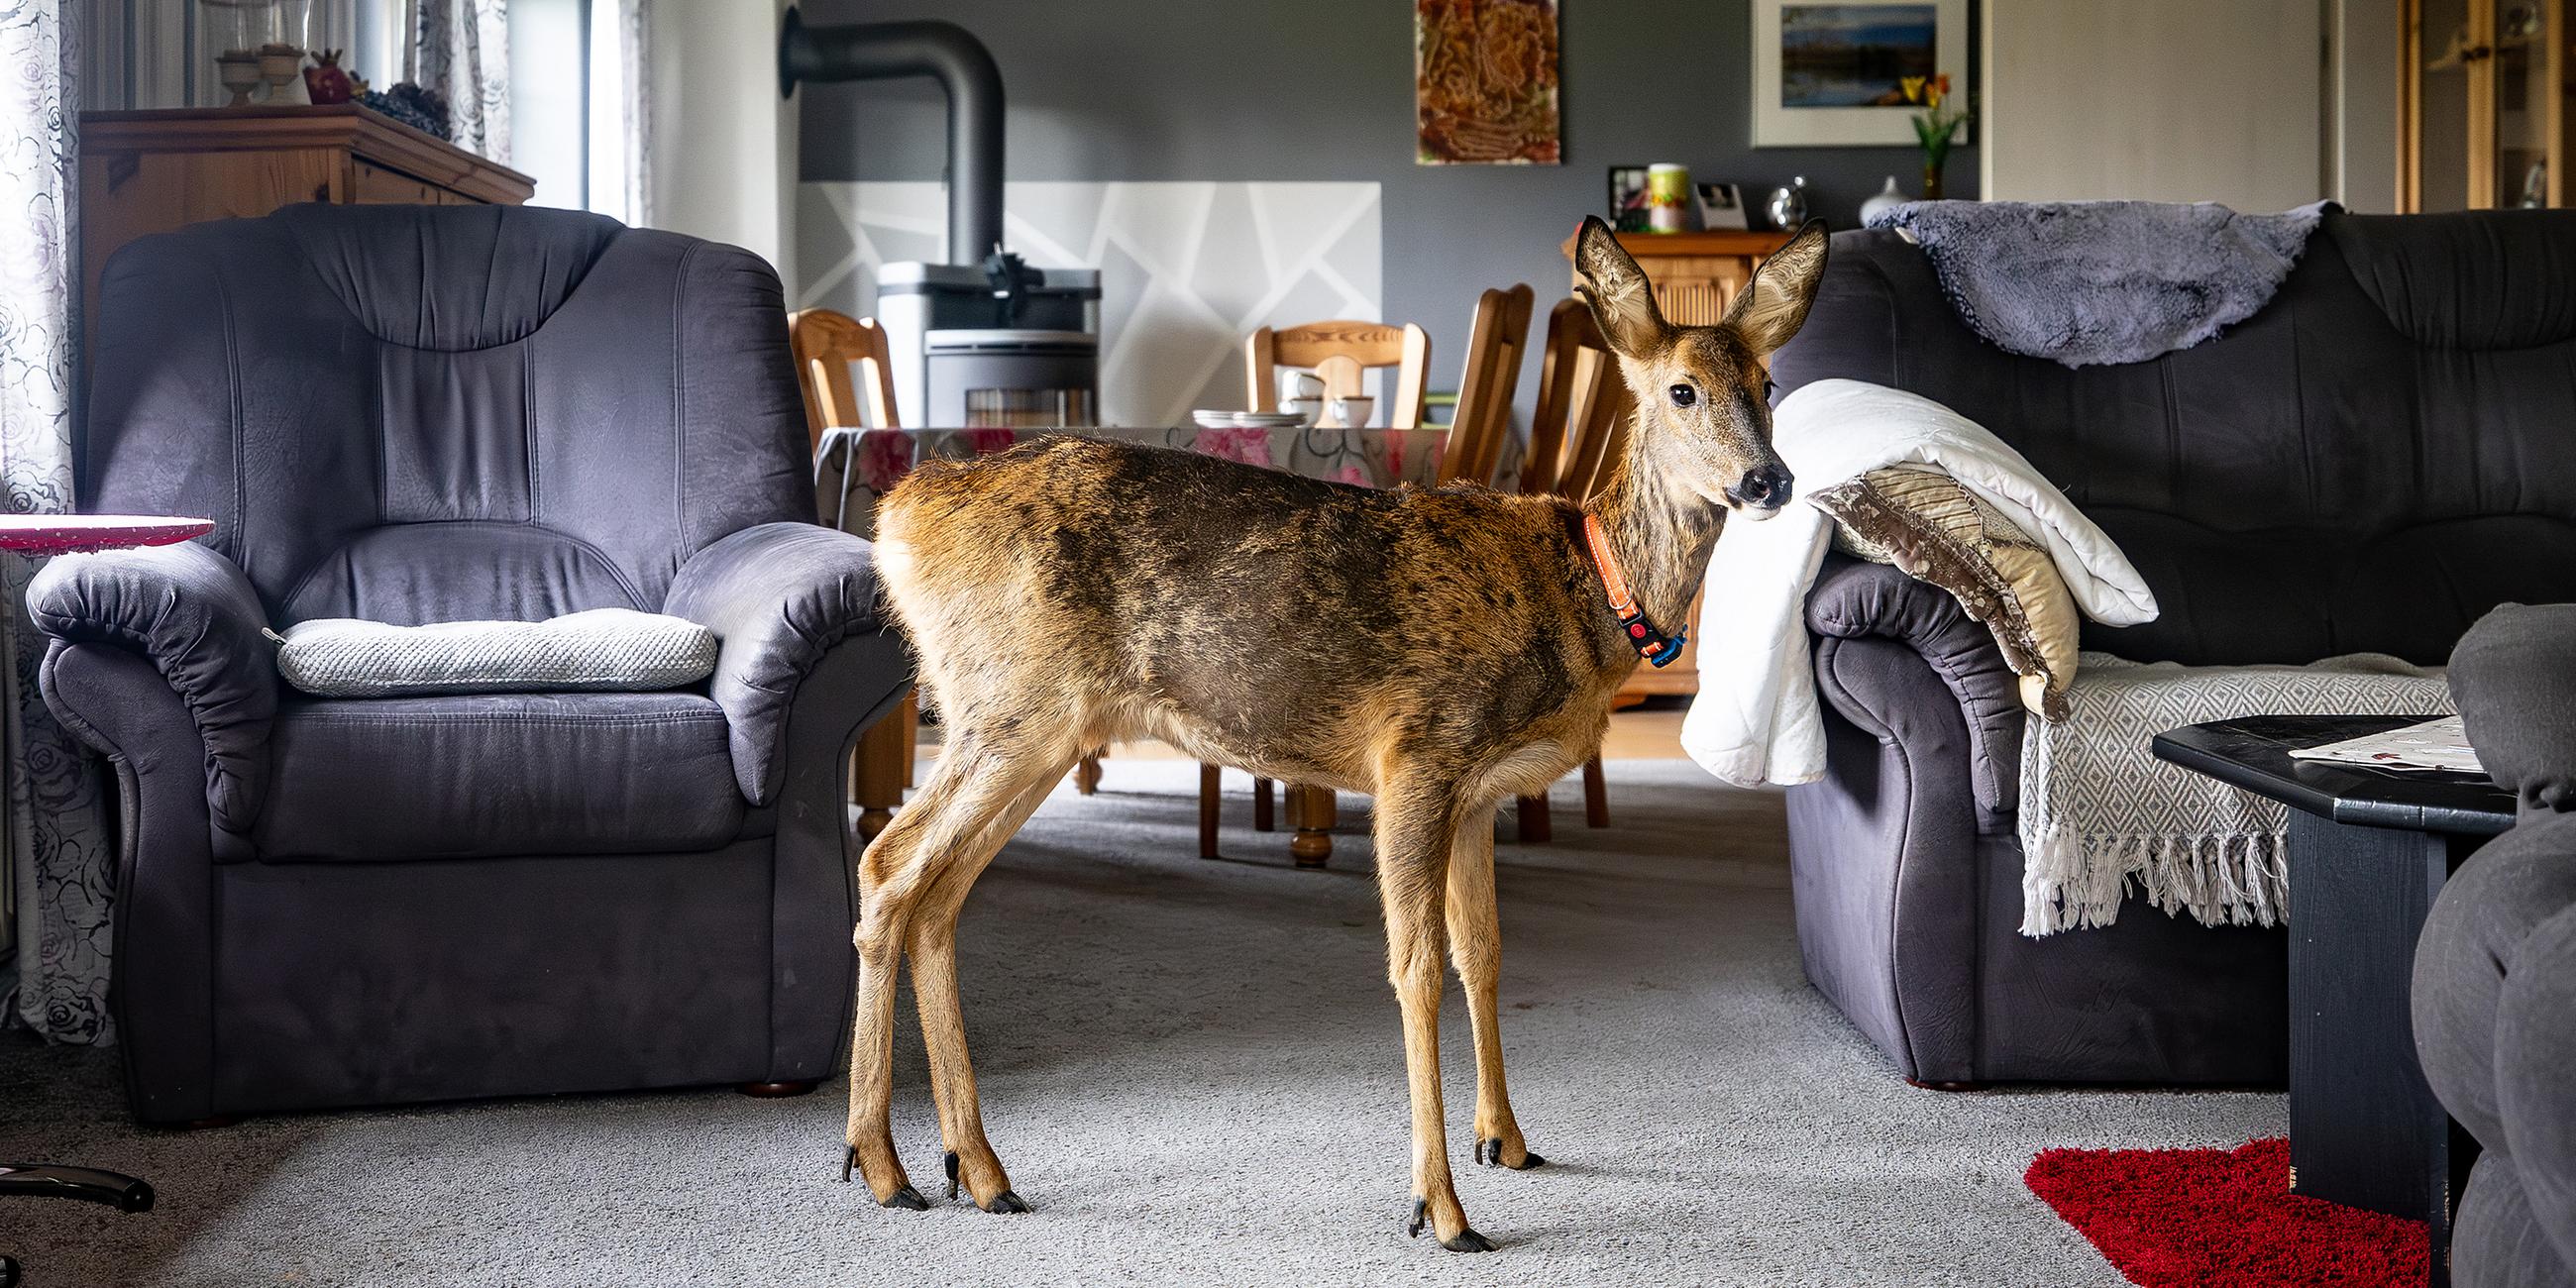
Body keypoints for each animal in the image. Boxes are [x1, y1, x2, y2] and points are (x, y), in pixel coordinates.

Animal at [844, 218, 1834, 1246]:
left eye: (1767, 384)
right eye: (1681, 389)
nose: (1769, 479)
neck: (1589, 588)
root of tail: (899, 518)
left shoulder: (1479, 794)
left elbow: (1483, 953)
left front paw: (1507, 1140)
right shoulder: (1417, 752)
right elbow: (1416, 968)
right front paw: (1441, 1206)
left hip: (1028, 725)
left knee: (936, 895)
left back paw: (973, 1168)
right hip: (1013, 706)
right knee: (889, 863)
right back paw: (882, 1163)